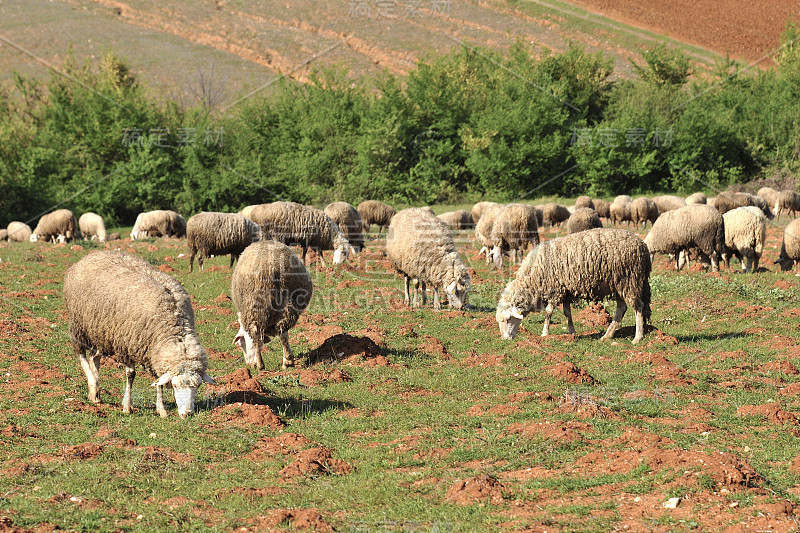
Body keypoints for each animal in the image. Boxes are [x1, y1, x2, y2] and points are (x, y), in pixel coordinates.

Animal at [63, 251, 217, 418]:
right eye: (175, 386)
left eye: (198, 386)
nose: (187, 414)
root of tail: (93, 254)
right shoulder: (126, 345)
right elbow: (131, 375)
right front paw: (127, 406)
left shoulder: (153, 351)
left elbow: (158, 381)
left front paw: (161, 409)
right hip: (78, 324)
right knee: (81, 355)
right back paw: (92, 384)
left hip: (101, 330)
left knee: (94, 357)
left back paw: (95, 393)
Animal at [231, 241, 312, 370]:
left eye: (240, 344)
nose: (249, 365)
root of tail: (271, 267)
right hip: (289, 303)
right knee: (283, 331)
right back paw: (287, 361)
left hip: (254, 307)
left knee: (256, 335)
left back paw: (260, 365)